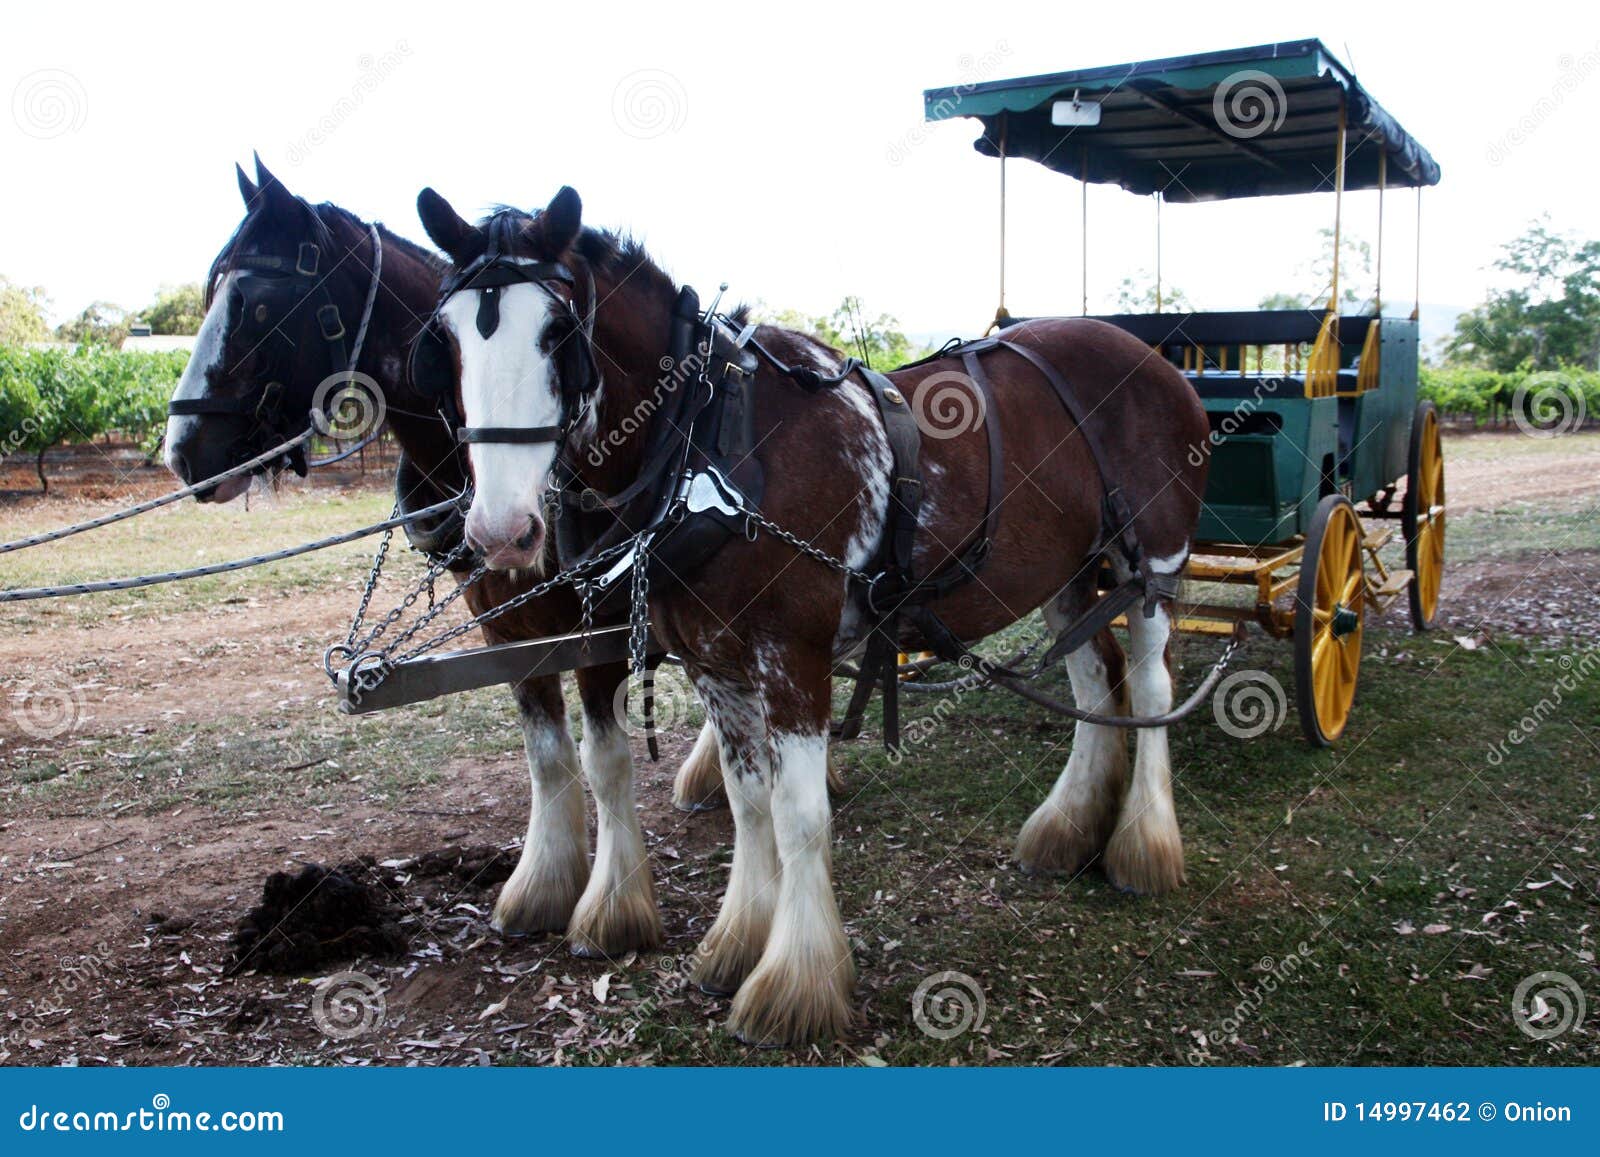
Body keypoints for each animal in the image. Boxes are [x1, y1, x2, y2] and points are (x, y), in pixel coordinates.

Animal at [161, 157, 725, 957]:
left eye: (256, 302)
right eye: (212, 291)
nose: (183, 451)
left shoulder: (599, 619)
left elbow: (603, 755)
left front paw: (613, 908)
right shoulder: (500, 617)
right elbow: (545, 750)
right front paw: (543, 884)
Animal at [416, 183, 1211, 1045]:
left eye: (558, 332)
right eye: (445, 336)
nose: (500, 532)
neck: (712, 440)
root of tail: (1155, 360)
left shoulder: (792, 657)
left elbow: (799, 813)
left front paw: (794, 982)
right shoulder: (715, 664)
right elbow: (747, 801)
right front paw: (738, 942)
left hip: (1153, 564)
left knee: (1153, 688)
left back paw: (1144, 843)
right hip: (1064, 574)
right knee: (1098, 683)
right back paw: (1070, 827)